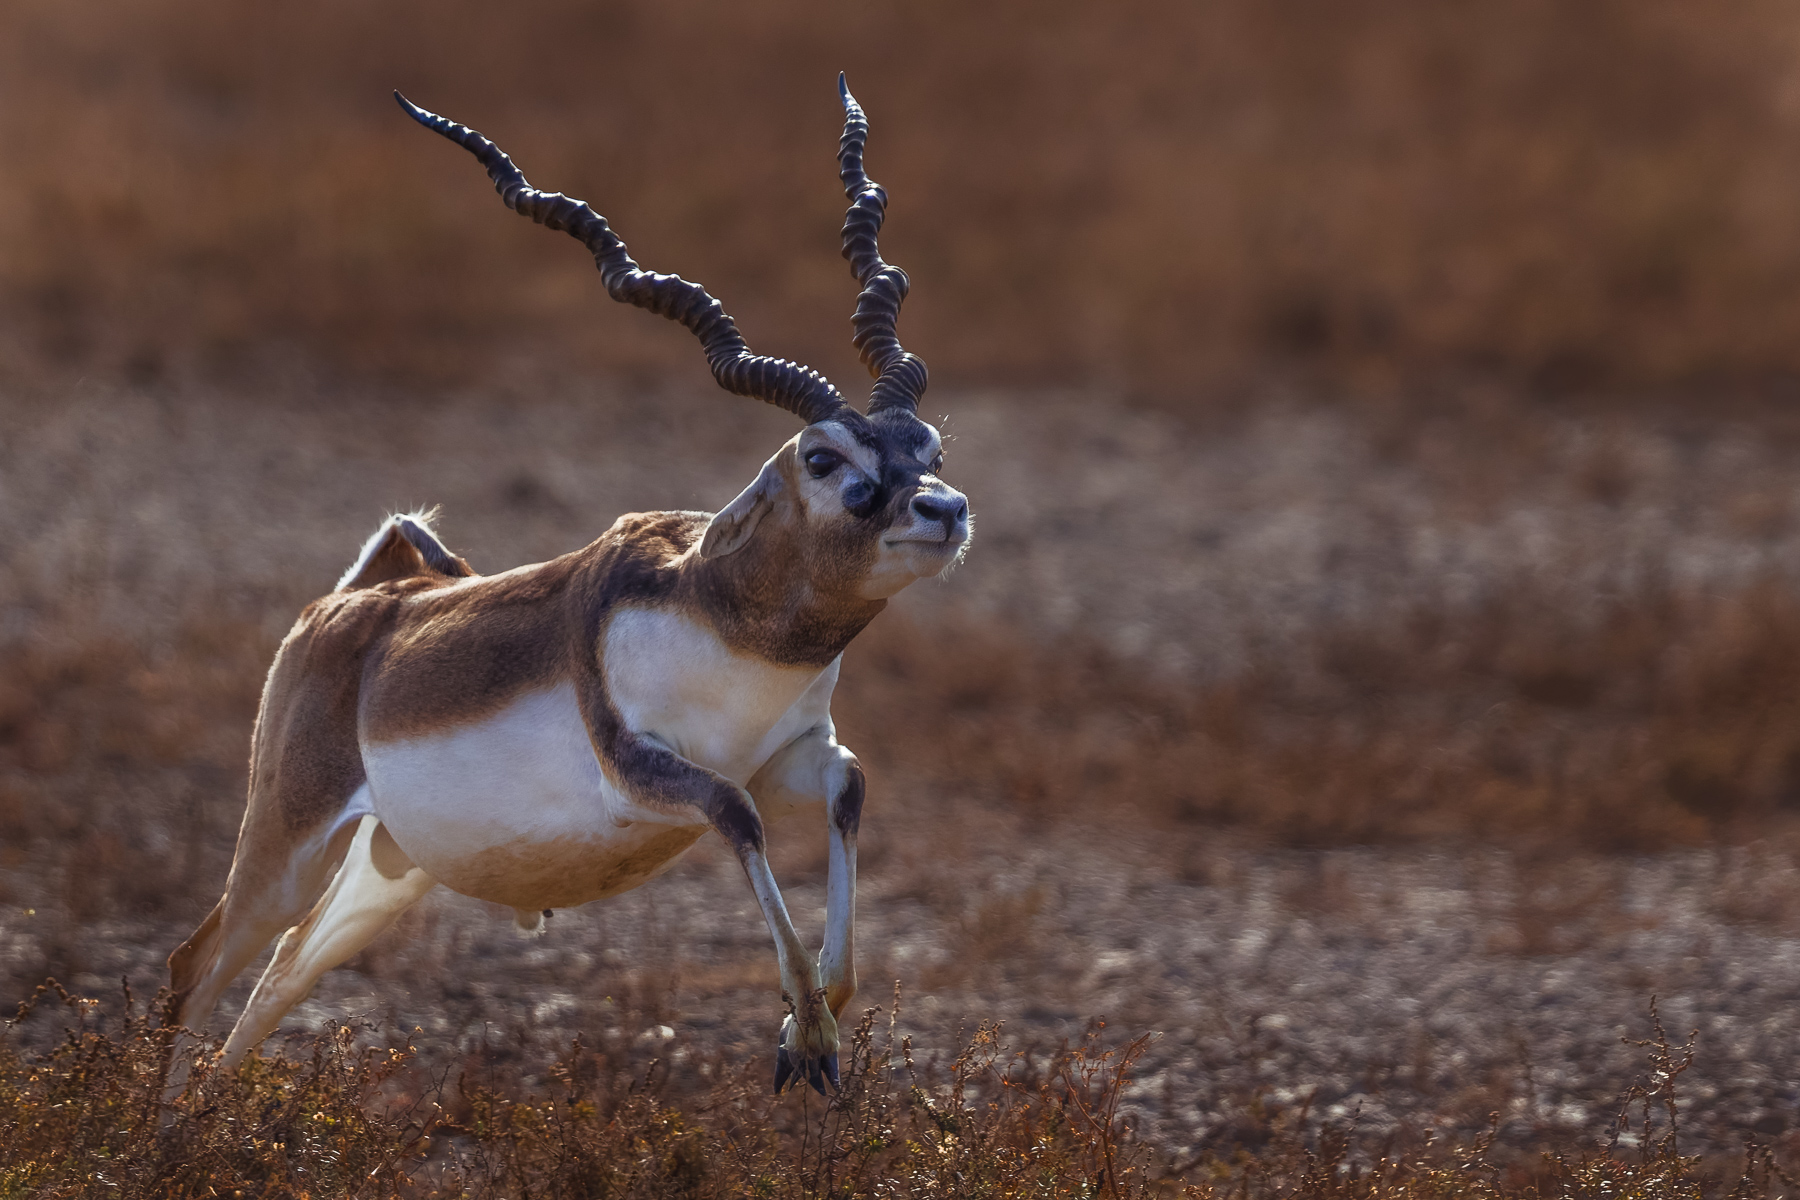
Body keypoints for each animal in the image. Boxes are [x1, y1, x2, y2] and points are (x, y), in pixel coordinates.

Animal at [165, 77, 970, 1095]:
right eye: (825, 459)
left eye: (927, 446)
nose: (944, 509)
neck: (724, 625)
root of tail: (356, 608)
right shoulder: (647, 769)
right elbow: (737, 814)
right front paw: (812, 1039)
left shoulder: (792, 755)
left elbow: (849, 789)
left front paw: (806, 1029)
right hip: (286, 841)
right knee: (196, 967)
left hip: (385, 873)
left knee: (274, 981)